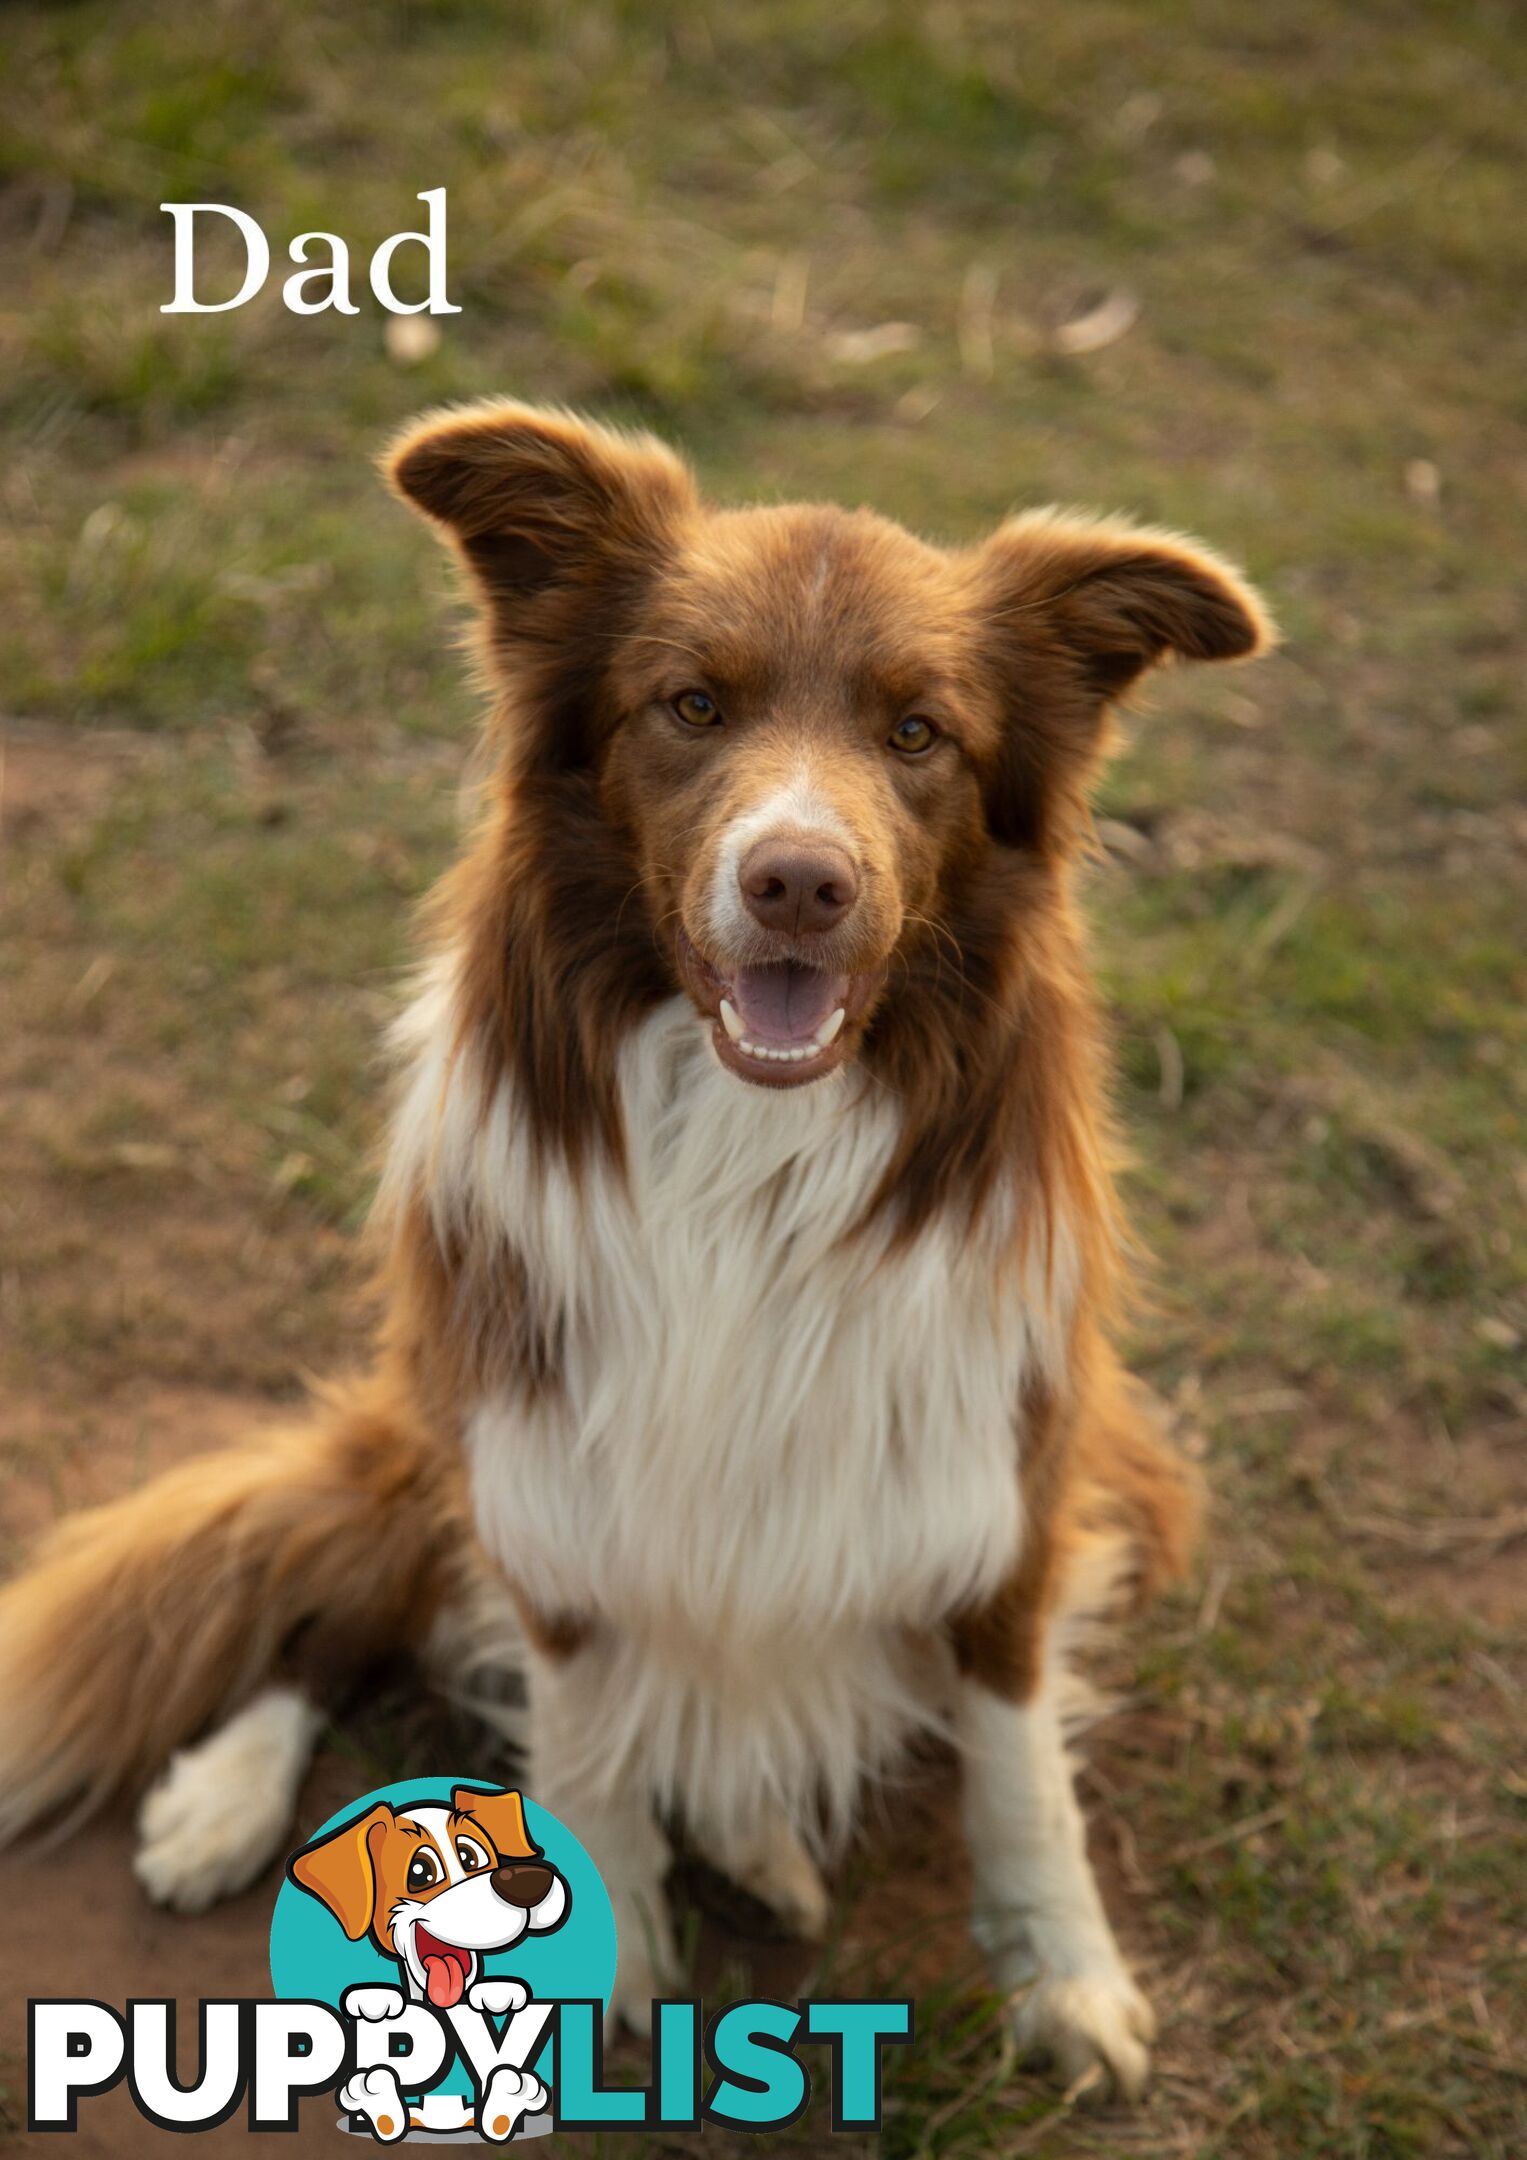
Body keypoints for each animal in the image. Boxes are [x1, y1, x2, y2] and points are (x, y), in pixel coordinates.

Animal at [0, 401, 1269, 2090]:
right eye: (691, 704)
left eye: (916, 734)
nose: (798, 880)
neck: (752, 1159)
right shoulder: (545, 1472)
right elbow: (585, 1744)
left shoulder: (1003, 1473)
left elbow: (1016, 1767)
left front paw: (1062, 1977)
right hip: (438, 1420)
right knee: (336, 1601)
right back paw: (220, 1800)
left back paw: (755, 1839)